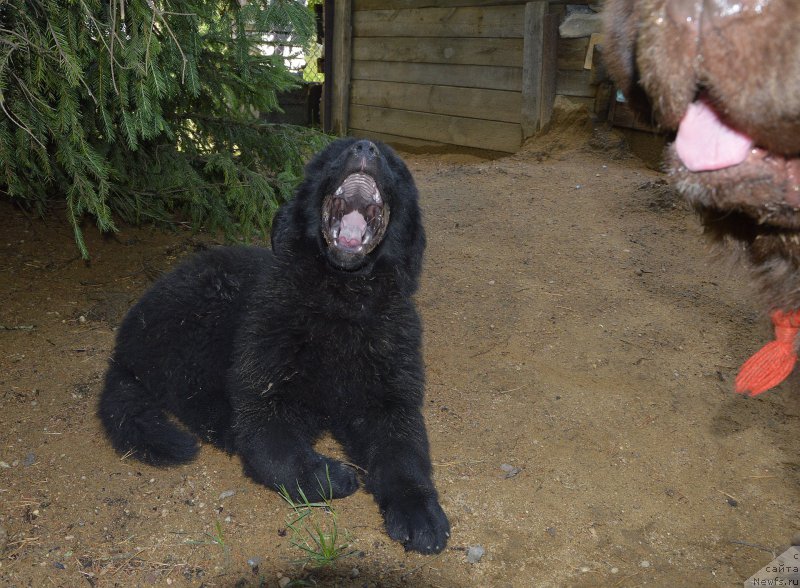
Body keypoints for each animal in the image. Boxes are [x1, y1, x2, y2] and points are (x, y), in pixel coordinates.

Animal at [98, 139, 450, 556]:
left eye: (395, 166)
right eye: (332, 155)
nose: (365, 147)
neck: (340, 299)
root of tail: (122, 349)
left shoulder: (389, 402)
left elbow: (404, 456)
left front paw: (417, 510)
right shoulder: (264, 395)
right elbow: (275, 453)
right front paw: (329, 477)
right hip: (200, 326)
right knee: (192, 397)